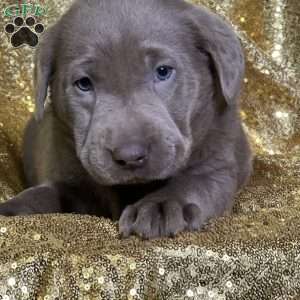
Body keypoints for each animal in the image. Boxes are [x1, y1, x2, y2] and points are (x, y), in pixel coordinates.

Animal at [0, 0, 253, 239]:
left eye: (163, 71)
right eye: (84, 84)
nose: (130, 156)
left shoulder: (217, 164)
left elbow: (194, 183)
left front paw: (160, 207)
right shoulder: (69, 176)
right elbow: (45, 193)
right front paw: (11, 209)